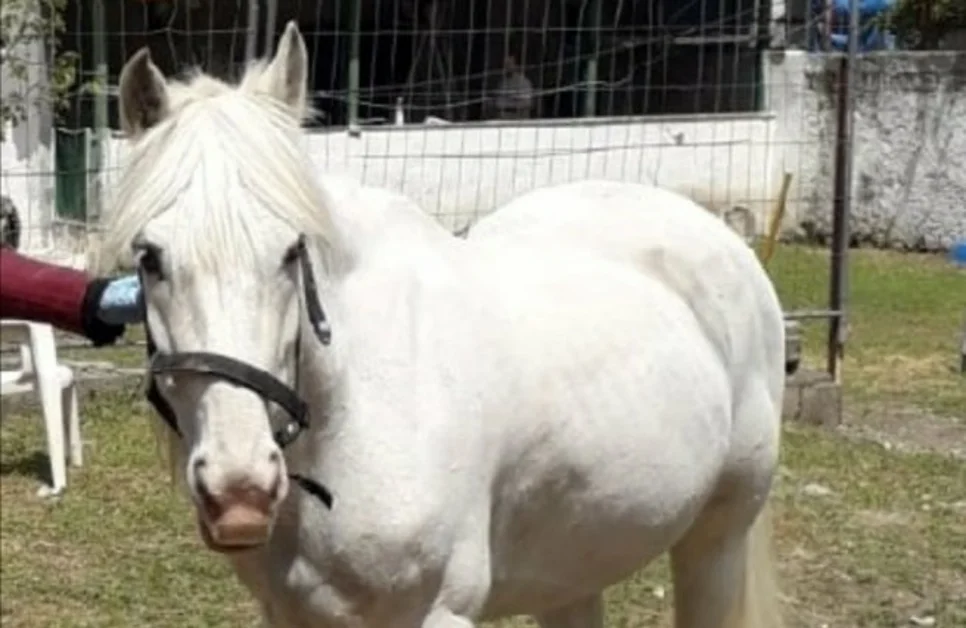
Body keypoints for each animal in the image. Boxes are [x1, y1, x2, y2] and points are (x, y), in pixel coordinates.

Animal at [96, 21, 786, 628]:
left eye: (293, 250)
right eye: (149, 257)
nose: (239, 493)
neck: (356, 408)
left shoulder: (438, 612)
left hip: (717, 542)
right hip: (575, 564)